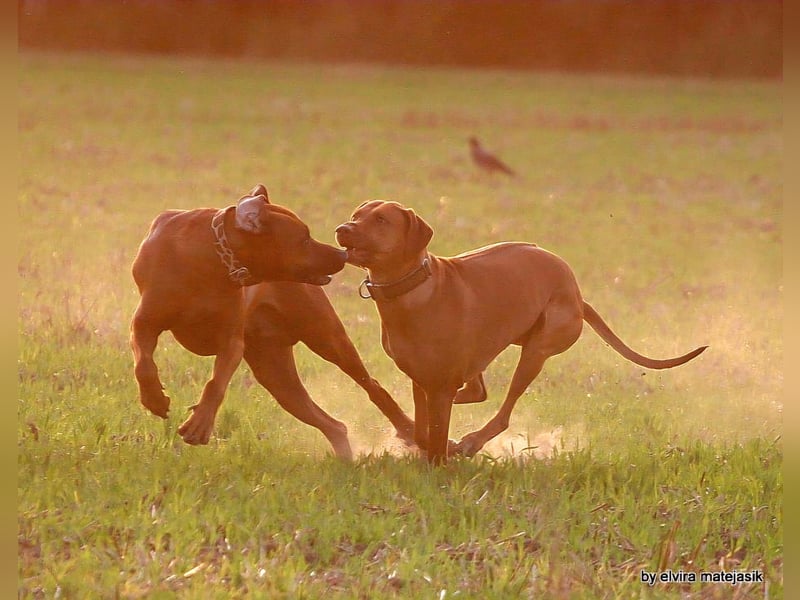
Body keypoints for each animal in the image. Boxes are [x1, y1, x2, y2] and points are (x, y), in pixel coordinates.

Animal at [334, 200, 708, 464]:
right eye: (357, 214)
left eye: (381, 220)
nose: (341, 229)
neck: (410, 289)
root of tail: (577, 295)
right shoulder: (421, 380)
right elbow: (424, 429)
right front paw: (432, 445)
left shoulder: (437, 383)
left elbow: (437, 436)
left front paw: (441, 463)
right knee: (477, 388)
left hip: (537, 350)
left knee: (502, 410)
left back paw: (473, 440)